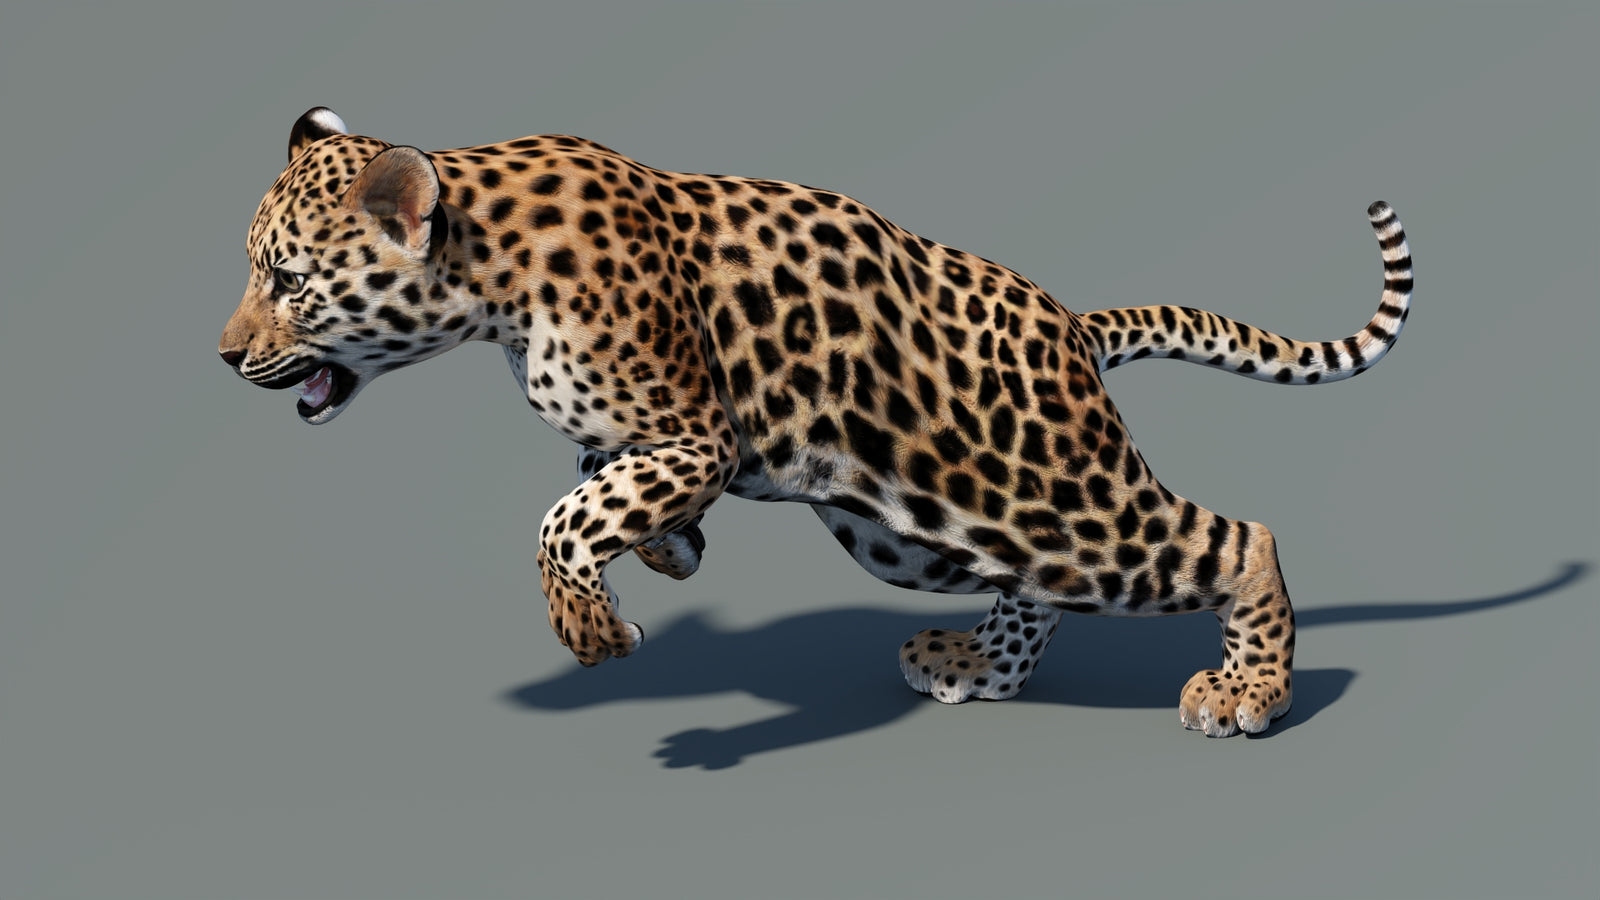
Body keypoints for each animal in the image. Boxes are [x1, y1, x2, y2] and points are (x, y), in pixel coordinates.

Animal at [220, 108, 1413, 737]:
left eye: (288, 281)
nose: (226, 357)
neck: (490, 281)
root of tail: (1069, 323)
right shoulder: (647, 439)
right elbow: (600, 490)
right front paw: (671, 553)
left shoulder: (695, 431)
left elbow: (564, 521)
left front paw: (597, 633)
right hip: (921, 530)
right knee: (1033, 591)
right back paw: (980, 668)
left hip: (1047, 498)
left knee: (1237, 539)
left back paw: (1248, 692)